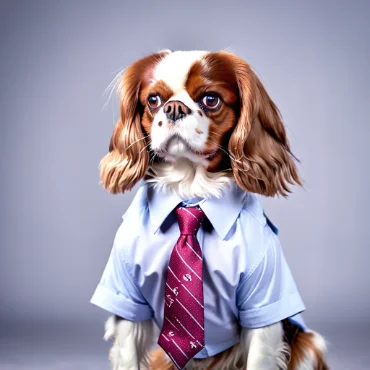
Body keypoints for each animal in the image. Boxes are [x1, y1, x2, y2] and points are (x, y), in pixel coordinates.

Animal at [91, 49, 328, 370]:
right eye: (153, 100)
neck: (190, 194)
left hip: (310, 344)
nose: (174, 108)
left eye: (211, 99)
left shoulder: (263, 304)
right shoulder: (128, 300)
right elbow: (128, 356)